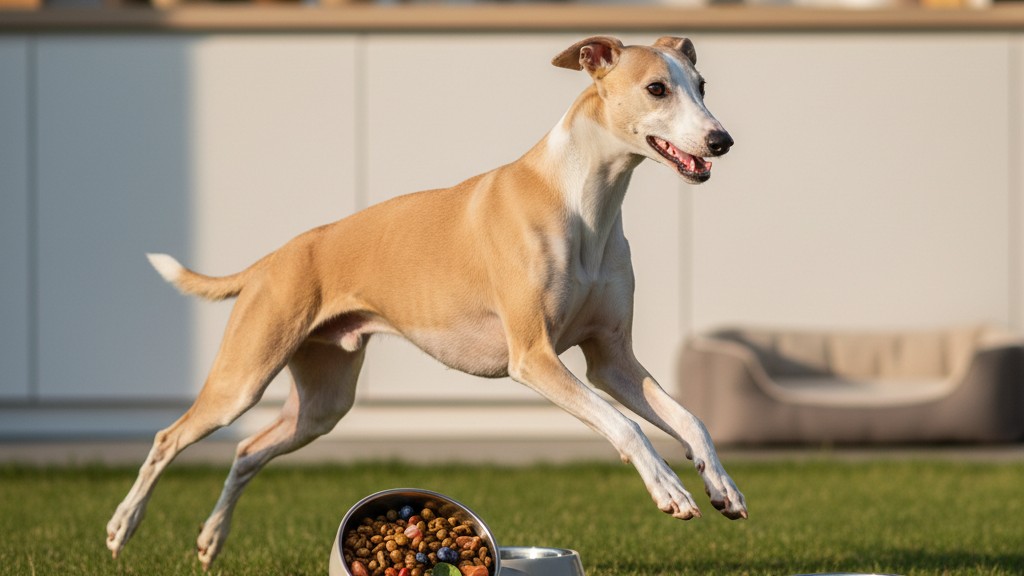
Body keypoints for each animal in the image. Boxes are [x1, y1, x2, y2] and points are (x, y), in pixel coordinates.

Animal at [106, 35, 747, 570]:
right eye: (657, 88)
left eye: (702, 86)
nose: (722, 141)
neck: (580, 198)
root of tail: (273, 258)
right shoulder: (534, 358)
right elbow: (627, 426)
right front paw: (670, 490)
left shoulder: (612, 361)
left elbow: (689, 418)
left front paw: (723, 487)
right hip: (242, 378)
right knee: (169, 438)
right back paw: (122, 527)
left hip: (322, 404)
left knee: (245, 450)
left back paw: (211, 540)